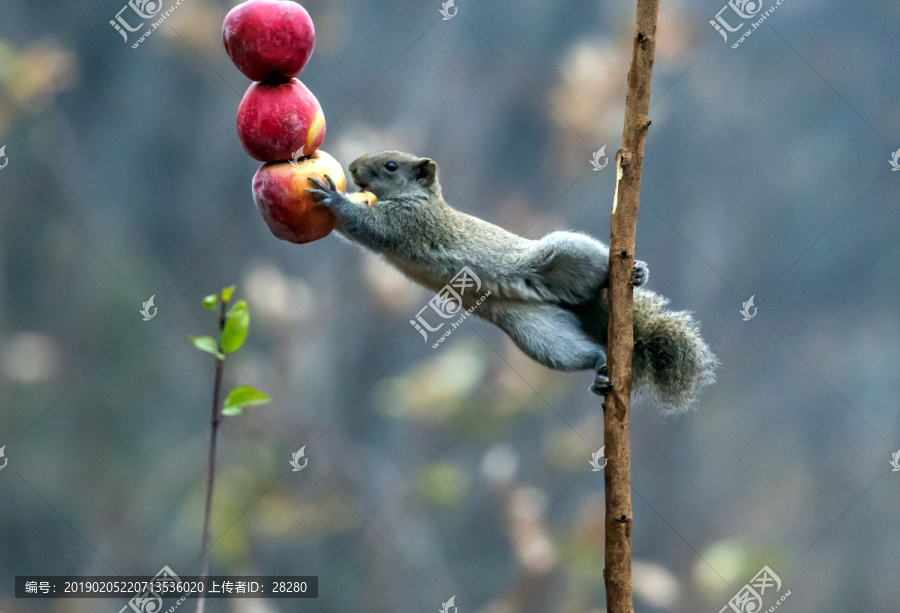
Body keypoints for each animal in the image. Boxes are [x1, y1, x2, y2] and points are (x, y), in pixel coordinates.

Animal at [308, 151, 716, 414]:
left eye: (391, 165)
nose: (353, 167)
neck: (419, 197)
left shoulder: (407, 223)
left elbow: (368, 227)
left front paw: (332, 197)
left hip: (562, 257)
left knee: (594, 270)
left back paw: (633, 273)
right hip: (537, 332)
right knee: (582, 352)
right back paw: (599, 366)